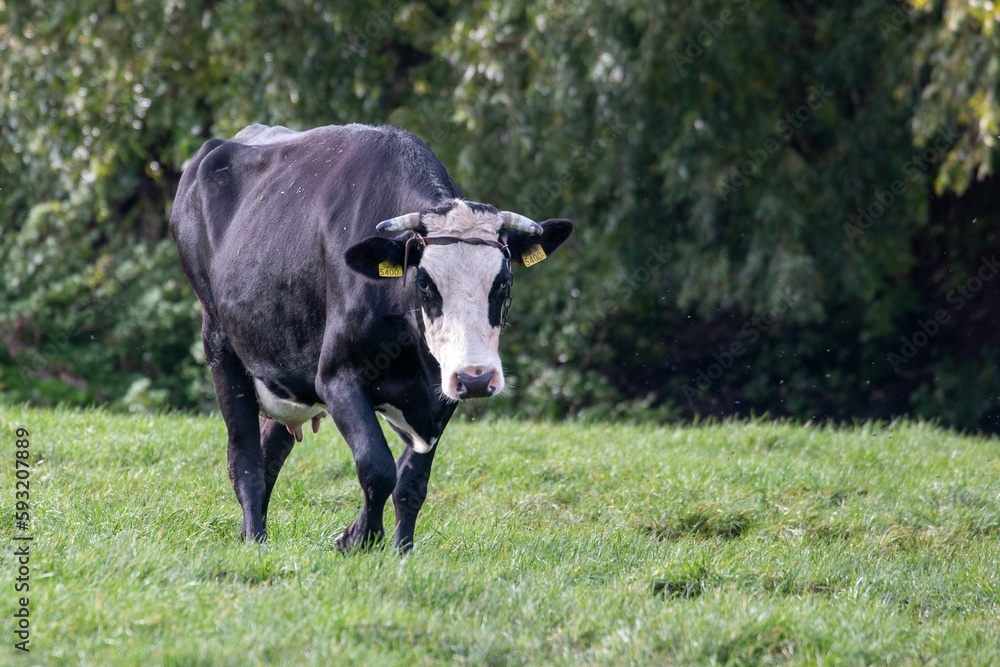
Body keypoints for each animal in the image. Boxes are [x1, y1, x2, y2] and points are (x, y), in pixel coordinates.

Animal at [169, 123, 572, 552]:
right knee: (243, 457)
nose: (476, 378)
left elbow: (410, 480)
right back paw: (255, 538)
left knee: (269, 453)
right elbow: (376, 465)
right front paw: (360, 539)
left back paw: (252, 532)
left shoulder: (441, 394)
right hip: (220, 344)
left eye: (503, 283)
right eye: (425, 284)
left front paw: (400, 549)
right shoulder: (336, 377)